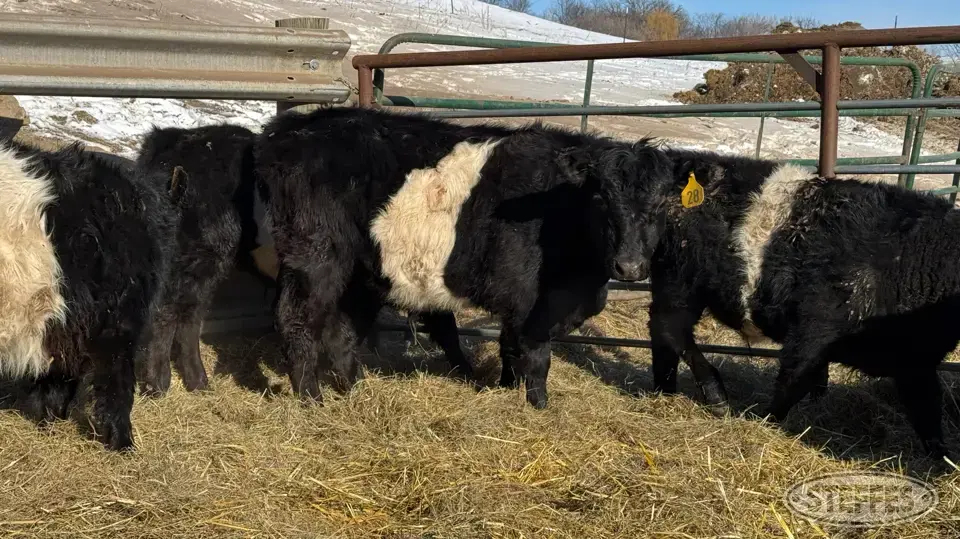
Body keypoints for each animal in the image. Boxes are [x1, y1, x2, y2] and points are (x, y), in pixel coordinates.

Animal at [253, 107, 674, 408]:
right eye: (601, 199)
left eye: (662, 204)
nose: (630, 267)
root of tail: (294, 127)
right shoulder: (529, 301)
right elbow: (536, 359)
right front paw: (539, 407)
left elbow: (509, 349)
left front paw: (506, 391)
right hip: (315, 254)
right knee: (296, 320)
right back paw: (312, 399)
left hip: (362, 270)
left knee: (343, 331)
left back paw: (354, 391)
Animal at [648, 148, 960, 460]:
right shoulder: (813, 333)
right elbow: (792, 382)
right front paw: (763, 422)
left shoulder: (916, 362)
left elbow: (928, 412)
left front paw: (942, 460)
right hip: (679, 283)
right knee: (669, 327)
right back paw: (713, 396)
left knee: (662, 333)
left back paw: (665, 391)